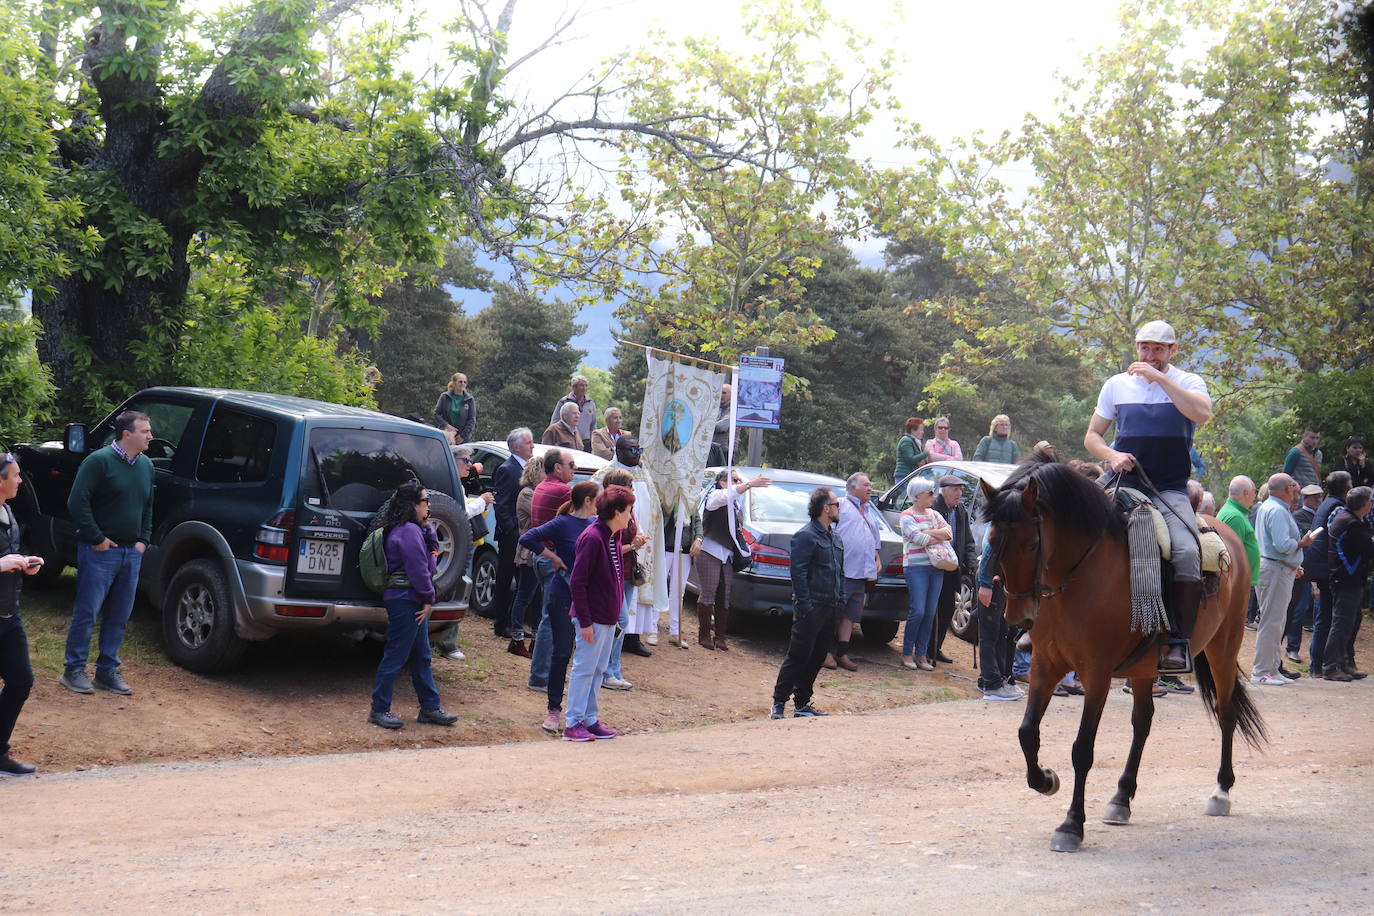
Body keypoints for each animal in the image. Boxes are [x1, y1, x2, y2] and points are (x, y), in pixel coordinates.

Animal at [989, 461, 1264, 856]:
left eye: (1031, 543)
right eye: (993, 540)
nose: (1017, 616)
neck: (1080, 576)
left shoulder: (1097, 674)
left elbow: (1082, 749)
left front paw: (1071, 825)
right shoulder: (1046, 665)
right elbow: (1027, 732)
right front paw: (1045, 780)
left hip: (1223, 648)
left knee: (1225, 714)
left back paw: (1221, 791)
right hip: (1145, 666)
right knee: (1143, 721)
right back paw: (1121, 797)